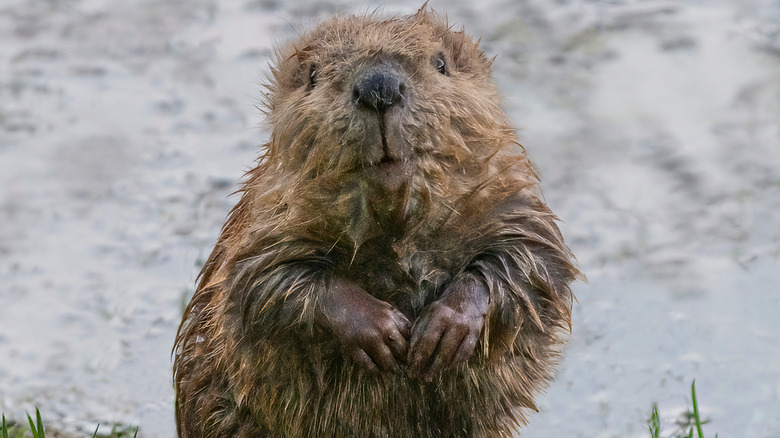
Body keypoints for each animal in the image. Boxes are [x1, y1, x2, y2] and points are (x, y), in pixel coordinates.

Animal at [174, 4, 580, 438]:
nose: (379, 87)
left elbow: (533, 256)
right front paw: (383, 332)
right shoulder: (268, 213)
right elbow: (261, 283)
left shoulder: (505, 193)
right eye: (314, 74)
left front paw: (441, 332)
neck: (396, 220)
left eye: (440, 63)